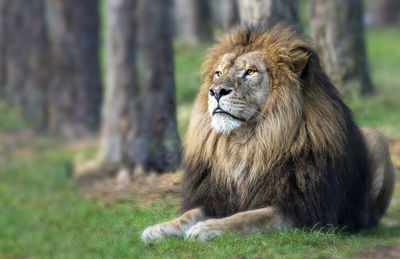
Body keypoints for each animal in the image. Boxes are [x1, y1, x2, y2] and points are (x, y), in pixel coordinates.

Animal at [140, 24, 394, 242]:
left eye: (251, 71)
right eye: (218, 73)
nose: (216, 91)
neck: (247, 144)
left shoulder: (301, 209)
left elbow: (247, 217)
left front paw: (209, 227)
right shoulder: (216, 198)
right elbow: (189, 214)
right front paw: (159, 228)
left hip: (376, 137)